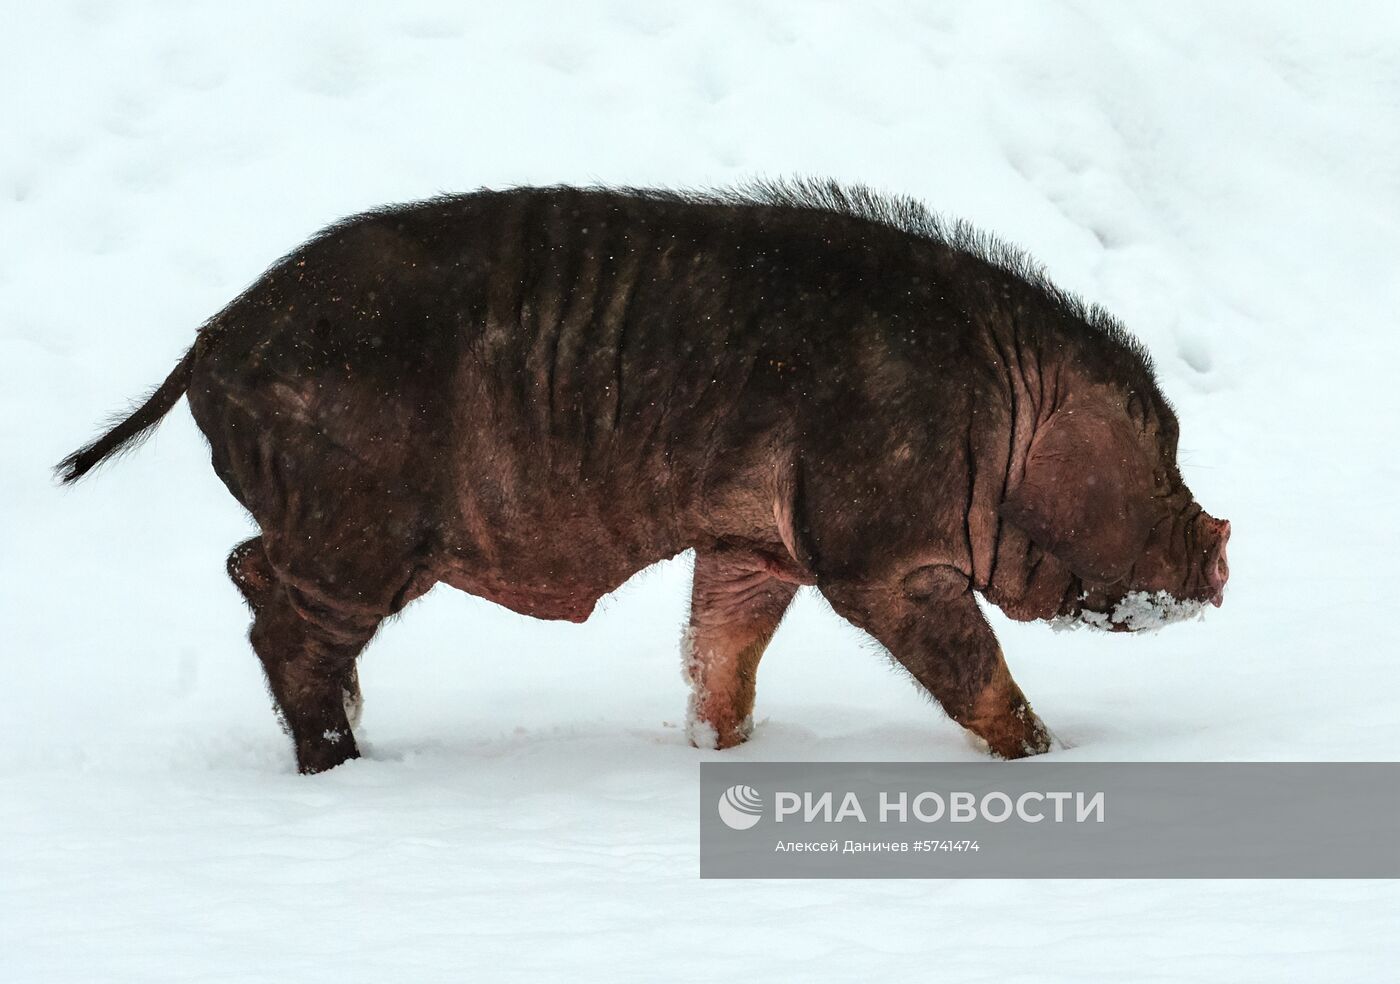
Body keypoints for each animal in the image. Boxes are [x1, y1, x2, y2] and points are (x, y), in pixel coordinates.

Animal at [60, 180, 1232, 772]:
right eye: (1156, 454)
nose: (1226, 543)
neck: (998, 406)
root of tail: (208, 341)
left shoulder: (751, 542)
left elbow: (720, 651)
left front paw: (714, 751)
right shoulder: (874, 549)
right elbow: (967, 665)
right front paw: (1050, 756)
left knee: (248, 570)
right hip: (358, 526)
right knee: (281, 622)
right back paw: (342, 765)